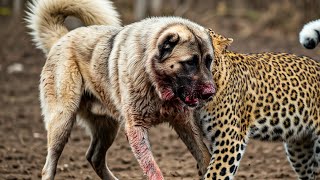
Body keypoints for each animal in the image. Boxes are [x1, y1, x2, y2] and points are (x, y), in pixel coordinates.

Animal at [25, 0, 215, 179]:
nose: (210, 93)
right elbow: (153, 169)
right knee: (49, 166)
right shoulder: (136, 129)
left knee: (94, 157)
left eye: (208, 61)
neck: (154, 81)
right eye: (190, 62)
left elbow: (205, 157)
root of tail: (63, 37)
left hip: (107, 126)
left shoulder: (185, 123)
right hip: (62, 121)